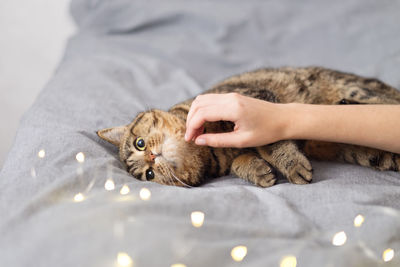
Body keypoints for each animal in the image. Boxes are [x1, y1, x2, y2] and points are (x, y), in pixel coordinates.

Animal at [97, 67, 400, 188]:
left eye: (139, 143)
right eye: (149, 175)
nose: (150, 157)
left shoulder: (254, 99)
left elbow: (271, 141)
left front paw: (291, 164)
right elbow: (239, 162)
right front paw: (256, 170)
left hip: (358, 90)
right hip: (362, 150)